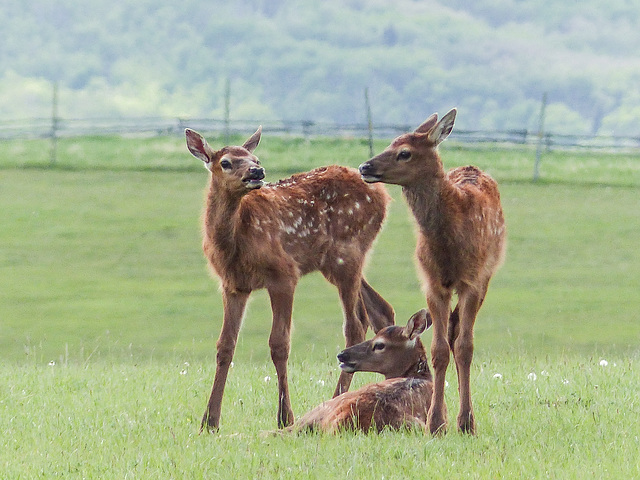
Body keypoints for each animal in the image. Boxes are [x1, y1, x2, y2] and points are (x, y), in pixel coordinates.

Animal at [185, 126, 396, 432]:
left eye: (255, 158)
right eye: (225, 162)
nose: (257, 172)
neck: (235, 240)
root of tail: (382, 192)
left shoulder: (283, 273)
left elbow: (279, 344)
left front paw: (285, 417)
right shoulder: (233, 285)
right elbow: (225, 346)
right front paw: (210, 421)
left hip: (347, 254)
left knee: (355, 324)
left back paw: (335, 400)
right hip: (336, 263)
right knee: (379, 309)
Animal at [360, 109, 504, 436]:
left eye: (404, 152)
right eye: (390, 143)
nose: (365, 166)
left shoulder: (472, 280)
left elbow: (465, 347)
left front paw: (466, 423)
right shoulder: (432, 282)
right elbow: (439, 350)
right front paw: (435, 423)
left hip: (487, 276)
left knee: (460, 336)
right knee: (450, 334)